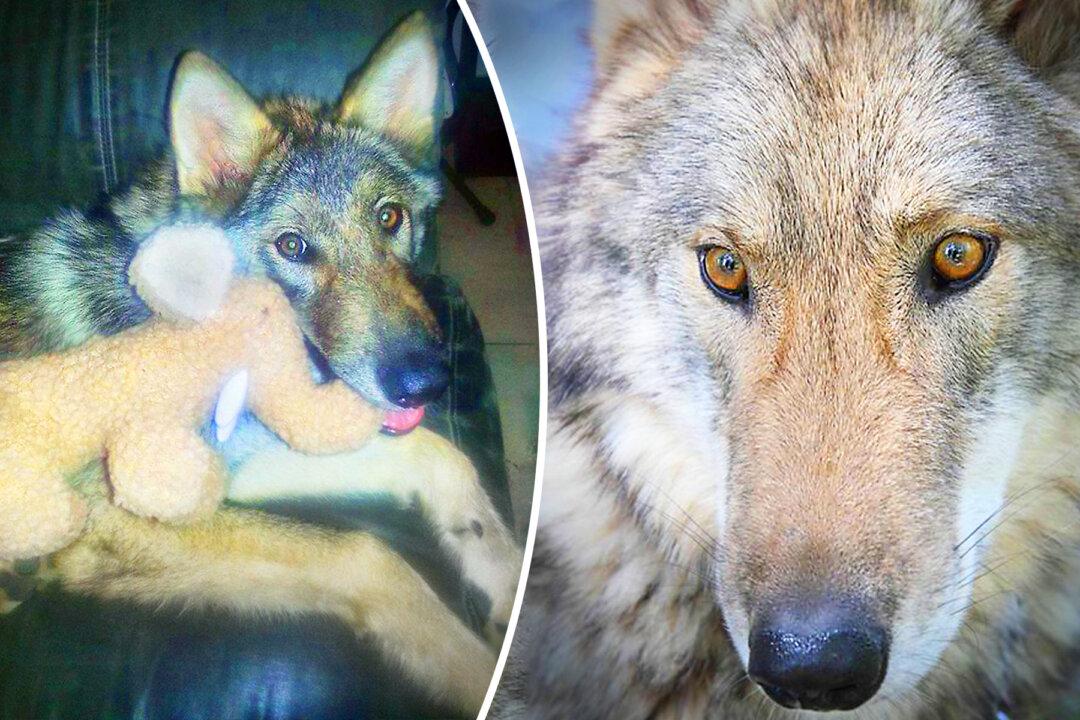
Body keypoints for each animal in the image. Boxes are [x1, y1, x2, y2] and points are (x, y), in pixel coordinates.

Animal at [0, 11, 520, 717]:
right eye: (292, 247)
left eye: (390, 218)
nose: (425, 383)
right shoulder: (113, 517)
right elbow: (365, 551)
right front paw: (475, 672)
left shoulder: (238, 468)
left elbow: (440, 455)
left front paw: (508, 578)